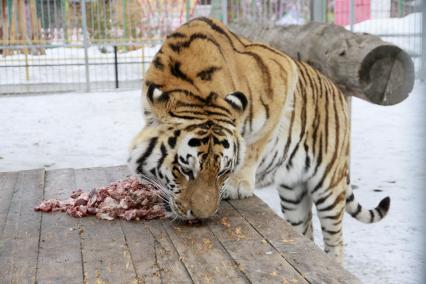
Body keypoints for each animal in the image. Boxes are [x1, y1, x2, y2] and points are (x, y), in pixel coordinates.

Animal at [126, 17, 390, 264]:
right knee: (305, 230)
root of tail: (335, 88)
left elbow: (255, 144)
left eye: (223, 172)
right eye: (184, 170)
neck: (192, 90)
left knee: (335, 239)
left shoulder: (283, 73)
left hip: (328, 185)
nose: (201, 216)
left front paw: (238, 184)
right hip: (293, 193)